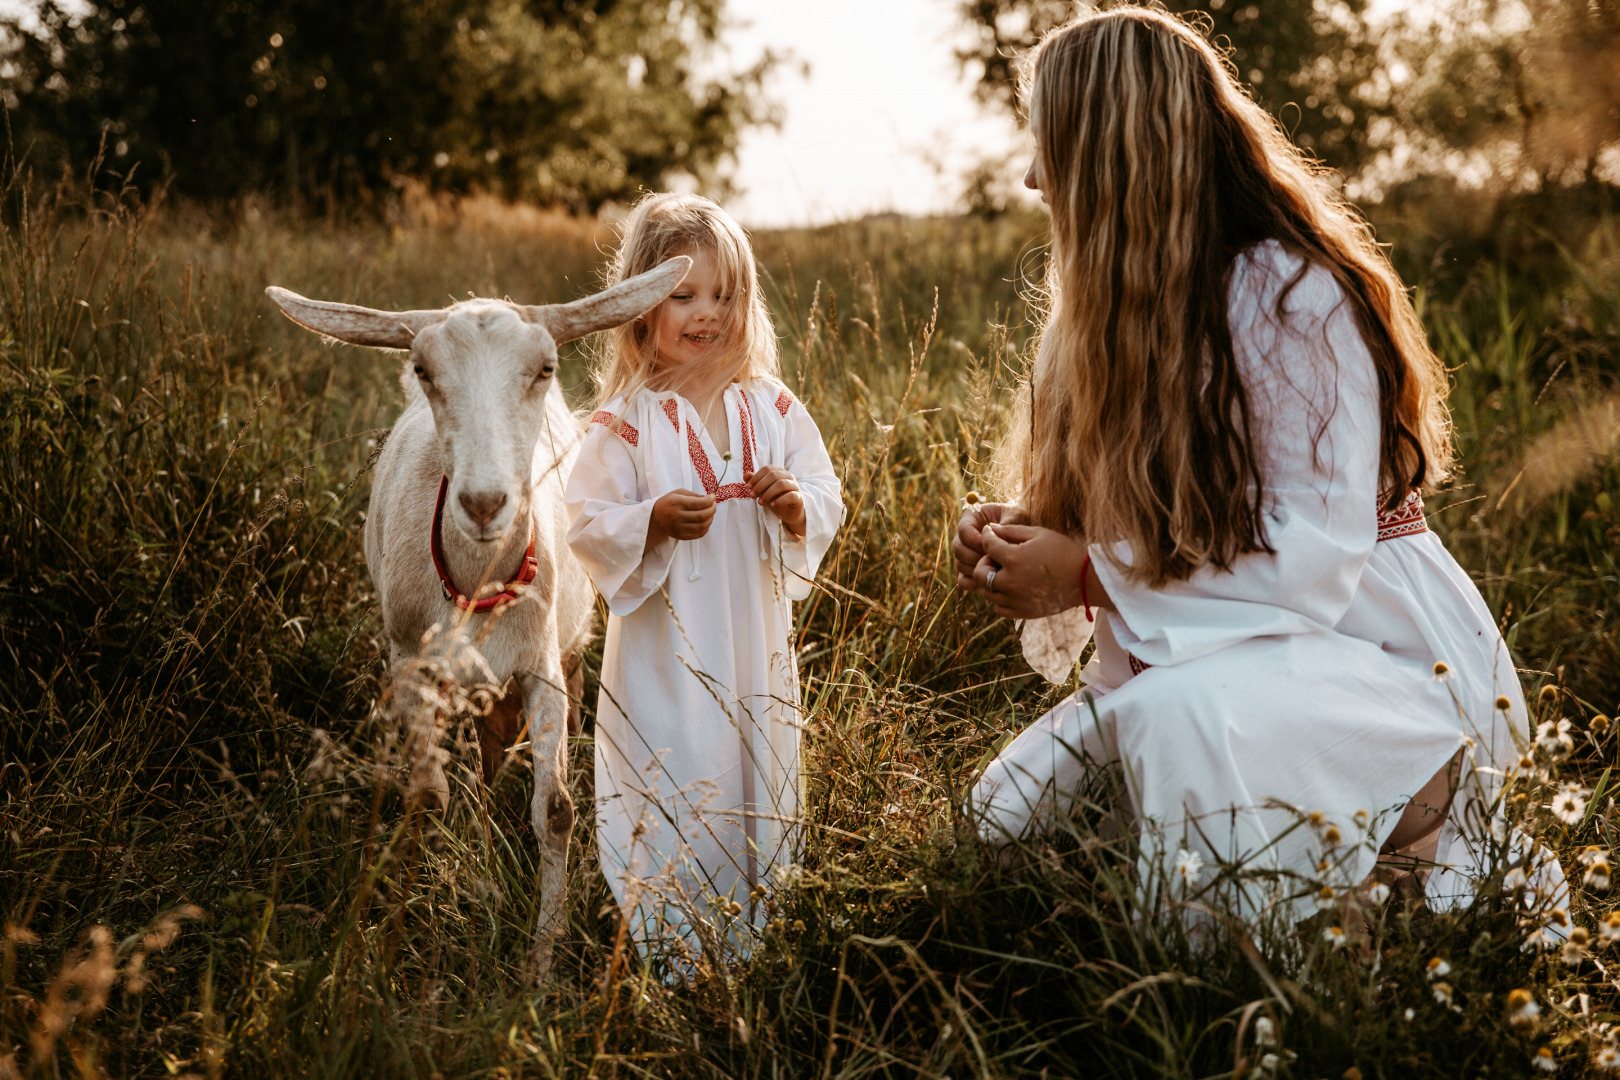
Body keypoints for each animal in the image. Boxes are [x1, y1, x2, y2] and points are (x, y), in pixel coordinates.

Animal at [264, 257, 690, 977]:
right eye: (423, 369)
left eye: (545, 367)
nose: (485, 503)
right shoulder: (413, 665)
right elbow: (425, 799)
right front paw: (403, 936)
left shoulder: (540, 669)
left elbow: (557, 809)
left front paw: (541, 964)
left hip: (564, 650)